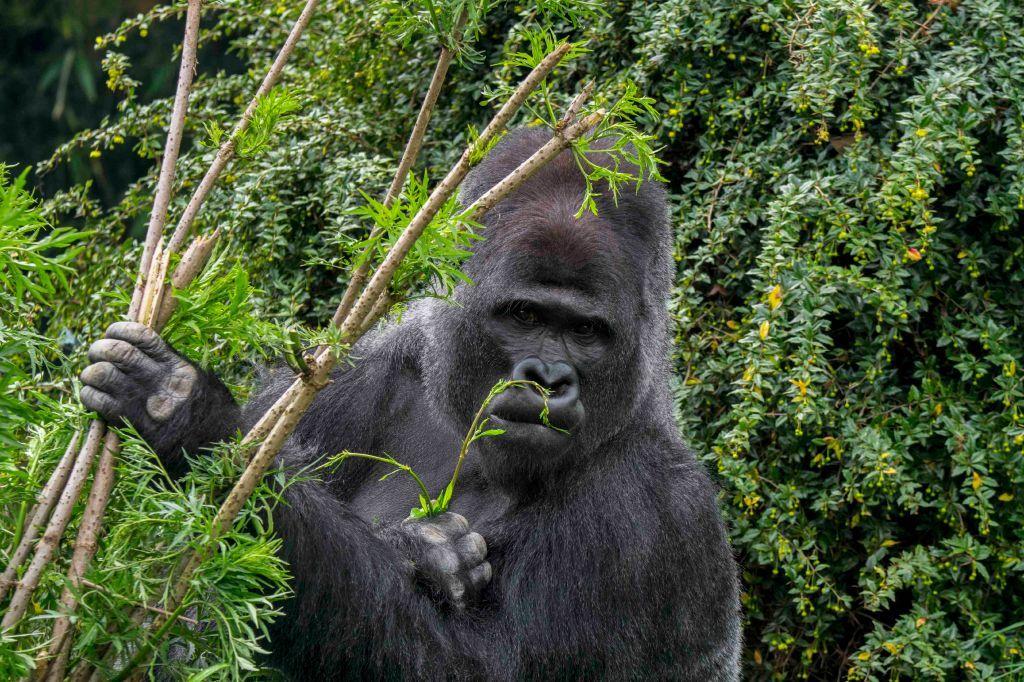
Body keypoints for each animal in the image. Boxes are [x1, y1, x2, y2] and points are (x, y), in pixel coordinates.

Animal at [79, 129, 737, 679]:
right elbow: (179, 605)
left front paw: (192, 423)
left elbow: (470, 666)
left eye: (586, 332)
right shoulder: (348, 373)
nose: (549, 378)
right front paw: (427, 552)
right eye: (525, 316)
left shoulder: (655, 509)